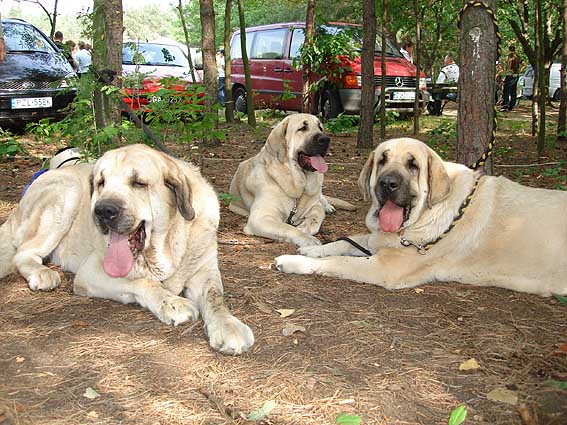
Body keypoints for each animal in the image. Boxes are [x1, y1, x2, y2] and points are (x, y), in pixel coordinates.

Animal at [0, 144, 254, 352]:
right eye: (101, 183)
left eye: (139, 183)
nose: (103, 210)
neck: (167, 244)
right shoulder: (91, 273)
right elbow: (142, 282)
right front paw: (173, 303)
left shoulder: (204, 272)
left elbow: (215, 297)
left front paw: (228, 327)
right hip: (66, 194)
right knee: (23, 253)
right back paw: (41, 274)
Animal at [230, 113, 356, 245]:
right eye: (302, 128)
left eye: (320, 128)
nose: (326, 139)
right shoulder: (260, 217)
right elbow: (287, 227)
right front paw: (308, 239)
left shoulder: (314, 205)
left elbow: (318, 214)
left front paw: (305, 226)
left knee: (322, 198)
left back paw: (328, 207)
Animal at [278, 137, 567, 296]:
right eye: (381, 160)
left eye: (413, 165)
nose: (387, 184)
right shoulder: (379, 240)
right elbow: (345, 242)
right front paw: (313, 249)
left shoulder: (385, 267)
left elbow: (338, 262)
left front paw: (293, 262)